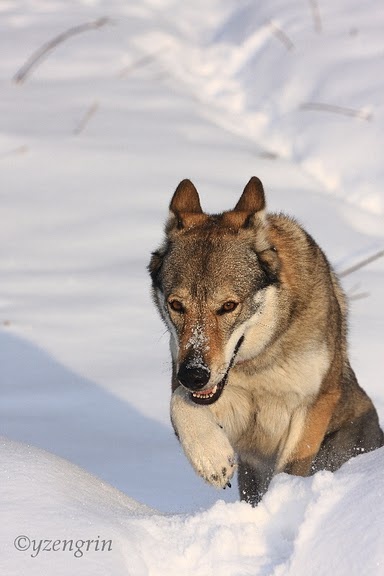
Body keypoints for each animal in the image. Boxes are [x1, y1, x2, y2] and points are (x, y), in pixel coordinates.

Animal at [148, 176, 384, 504]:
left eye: (228, 306)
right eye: (176, 305)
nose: (194, 375)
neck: (258, 364)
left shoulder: (312, 404)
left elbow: (292, 468)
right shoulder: (199, 389)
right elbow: (179, 403)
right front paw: (213, 459)